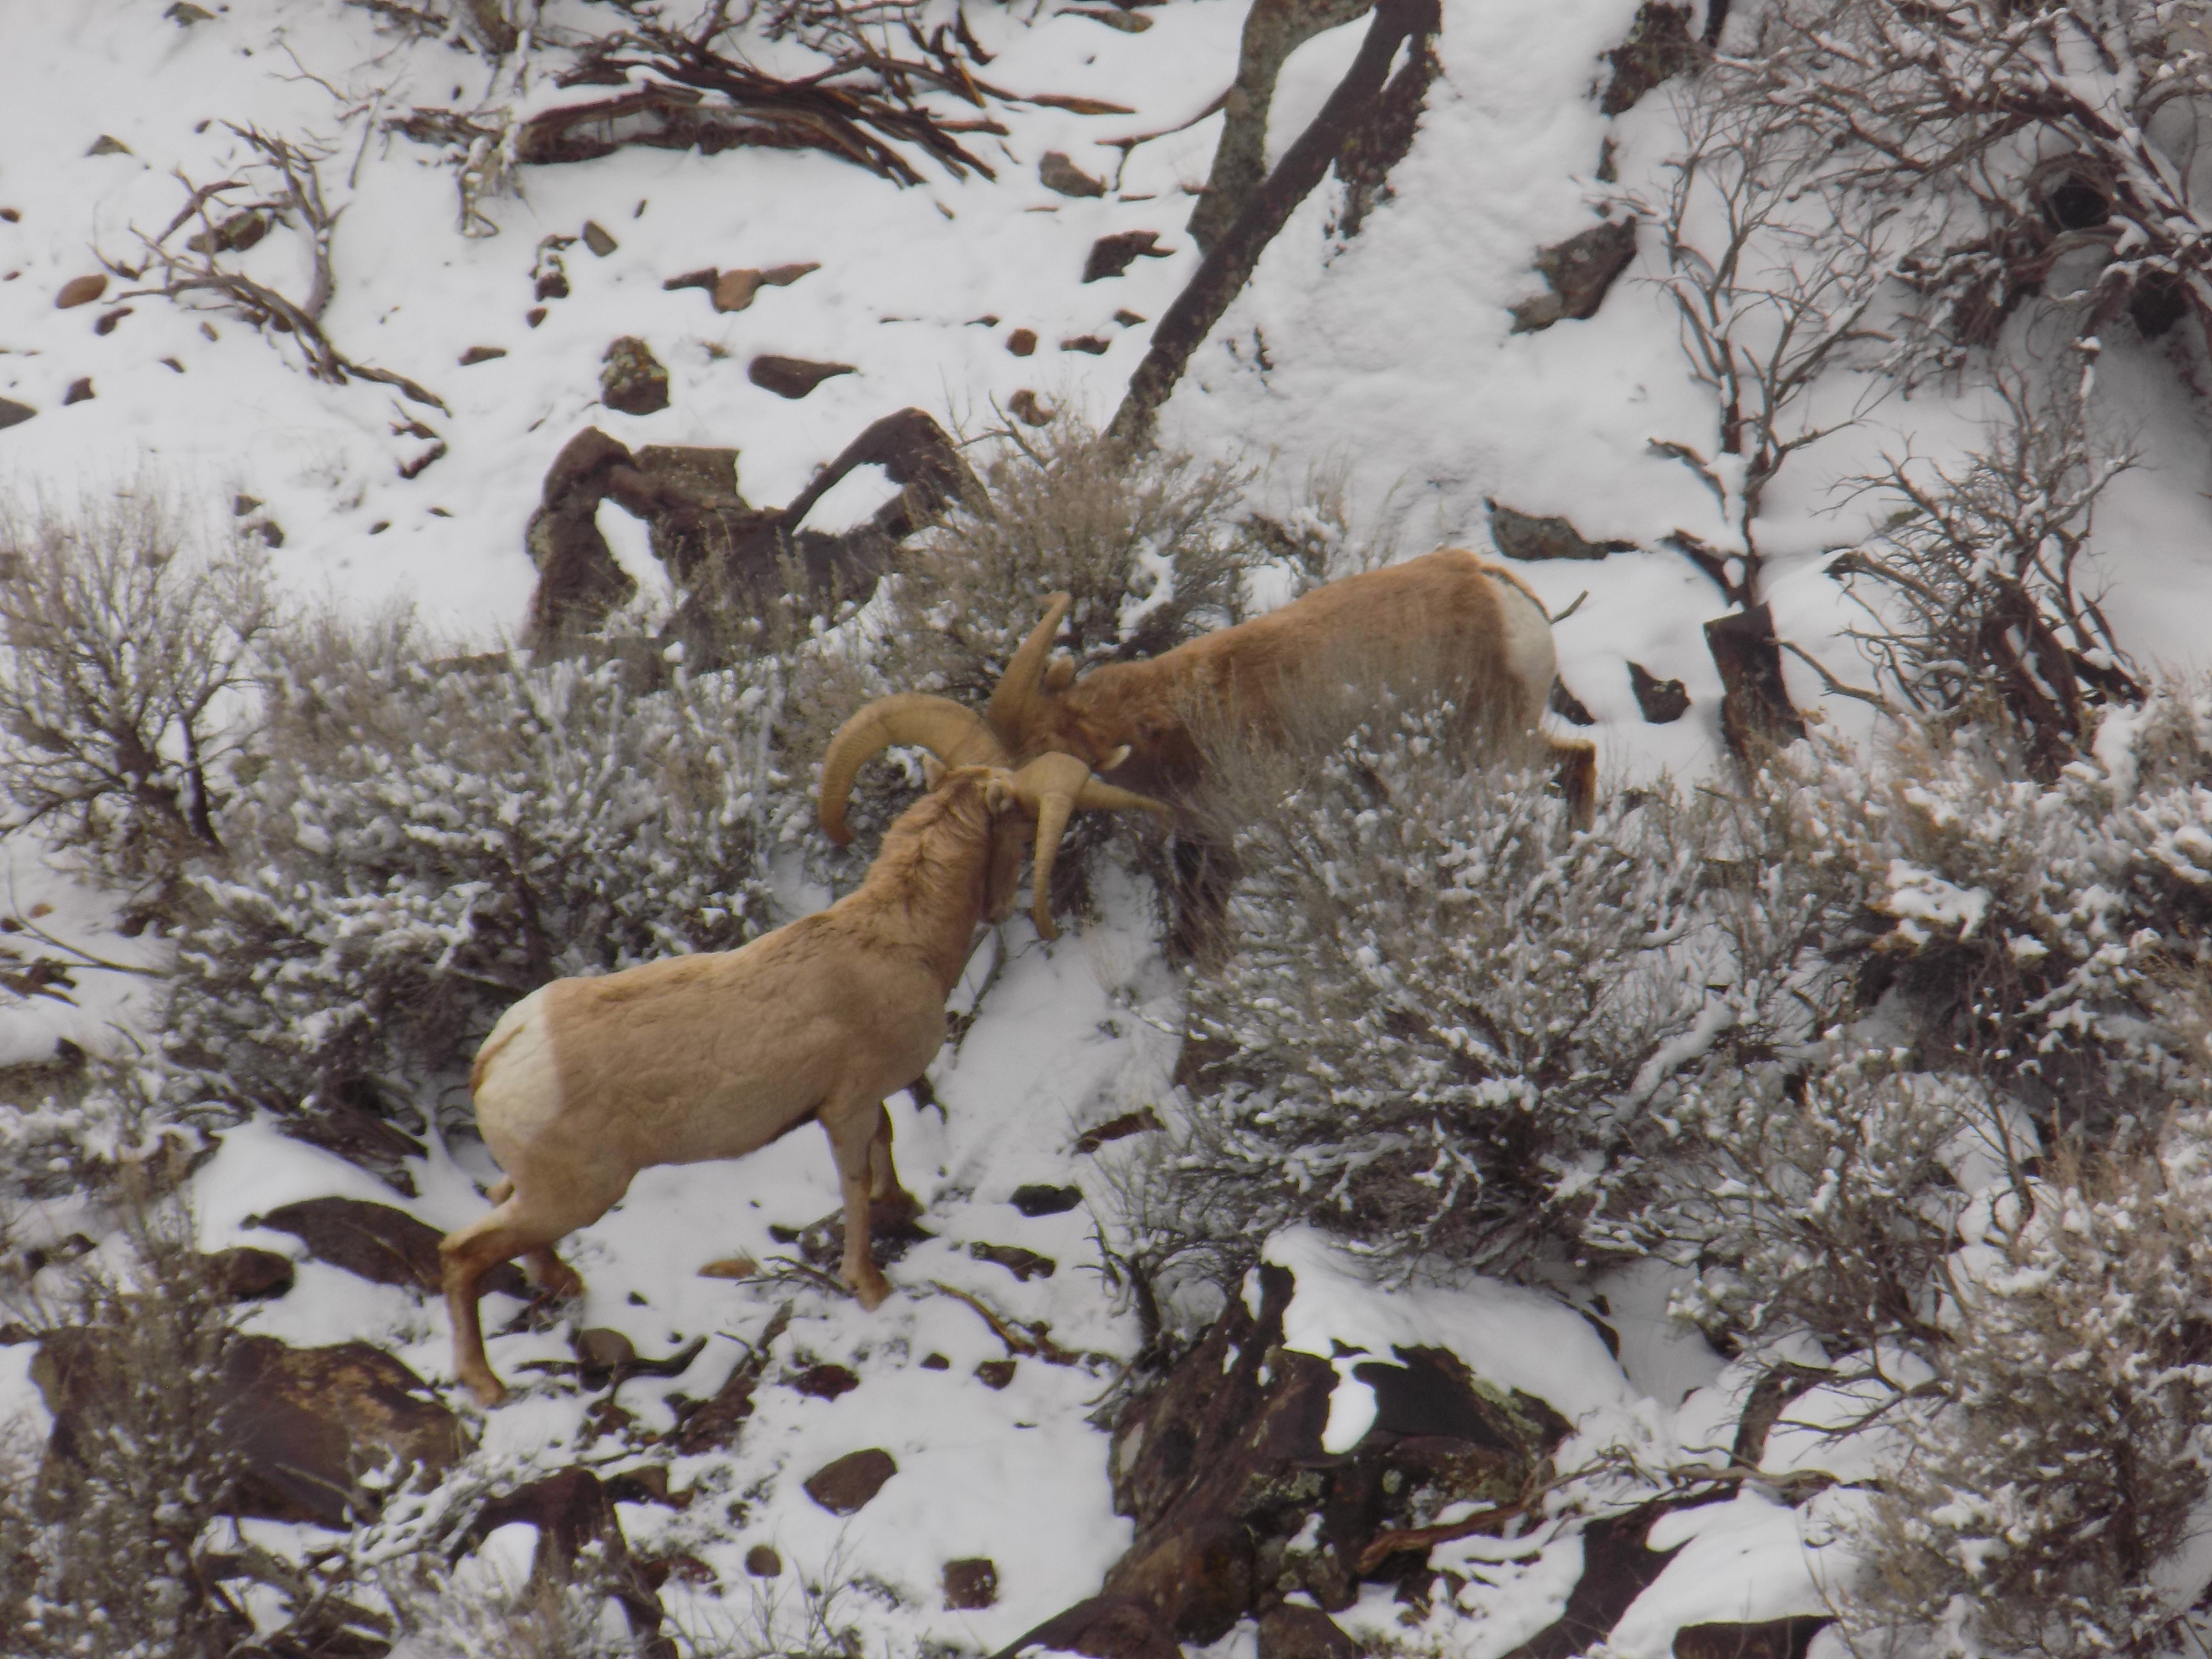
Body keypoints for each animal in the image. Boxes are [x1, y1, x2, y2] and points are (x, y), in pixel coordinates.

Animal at [440, 753, 1166, 1407]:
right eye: (1020, 826)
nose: (1002, 903)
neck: (899, 941)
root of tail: (506, 1049)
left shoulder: (863, 1102)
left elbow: (886, 1142)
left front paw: (902, 1205)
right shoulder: (844, 1109)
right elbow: (854, 1181)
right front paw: (869, 1286)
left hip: (543, 1193)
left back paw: (564, 1286)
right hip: (577, 1196)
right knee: (460, 1254)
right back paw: (487, 1386)